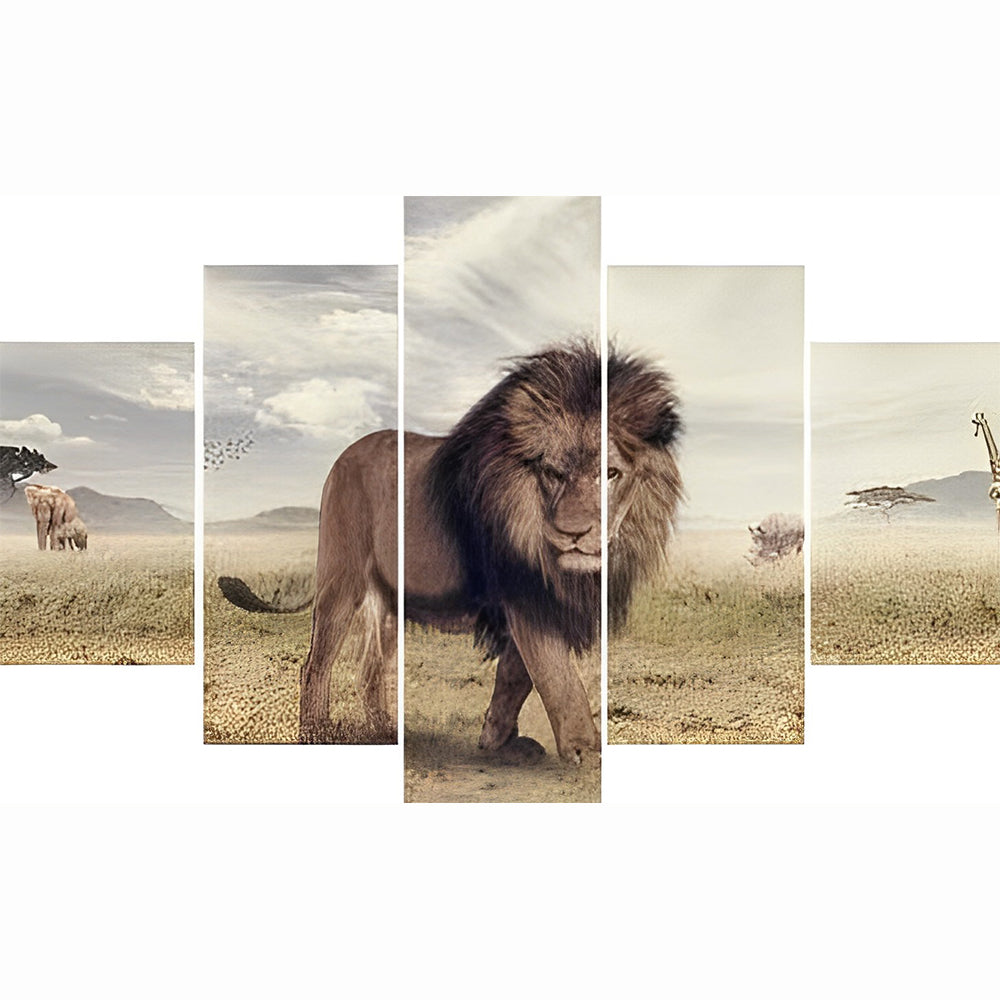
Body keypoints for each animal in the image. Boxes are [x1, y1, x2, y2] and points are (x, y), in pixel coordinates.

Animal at [218, 342, 682, 759]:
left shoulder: (532, 599)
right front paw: (585, 754)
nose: (572, 533)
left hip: (389, 600)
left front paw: (497, 740)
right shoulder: (526, 594)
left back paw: (386, 731)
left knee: (371, 669)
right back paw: (316, 734)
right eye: (551, 472)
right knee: (315, 664)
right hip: (341, 576)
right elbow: (559, 681)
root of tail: (344, 455)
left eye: (610, 473)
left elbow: (515, 676)